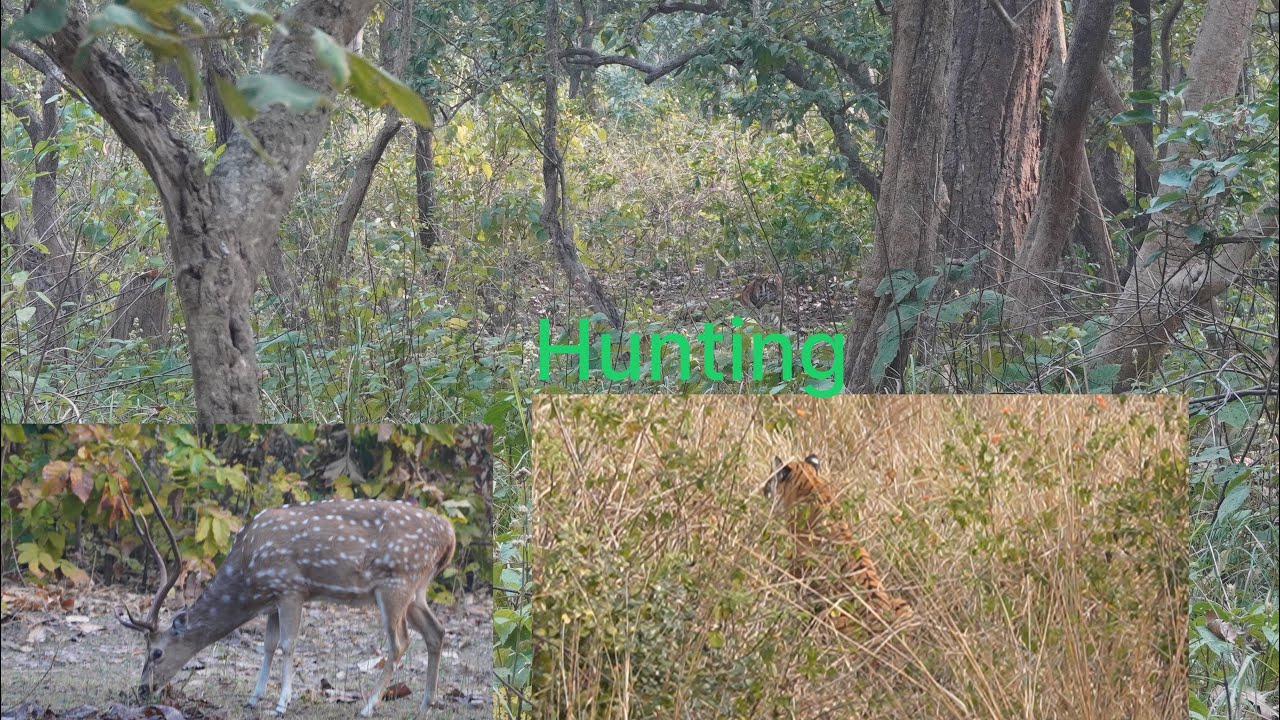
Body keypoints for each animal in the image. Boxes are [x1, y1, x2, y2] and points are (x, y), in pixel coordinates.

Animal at [116, 469, 457, 717]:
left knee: (400, 642)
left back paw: (367, 707)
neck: (248, 574)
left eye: (156, 652)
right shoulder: (273, 599)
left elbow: (287, 645)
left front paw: (281, 704)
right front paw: (254, 699)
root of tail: (450, 535)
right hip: (417, 590)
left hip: (396, 581)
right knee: (437, 631)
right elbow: (267, 646)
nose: (143, 689)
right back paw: (426, 705)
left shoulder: (291, 586)